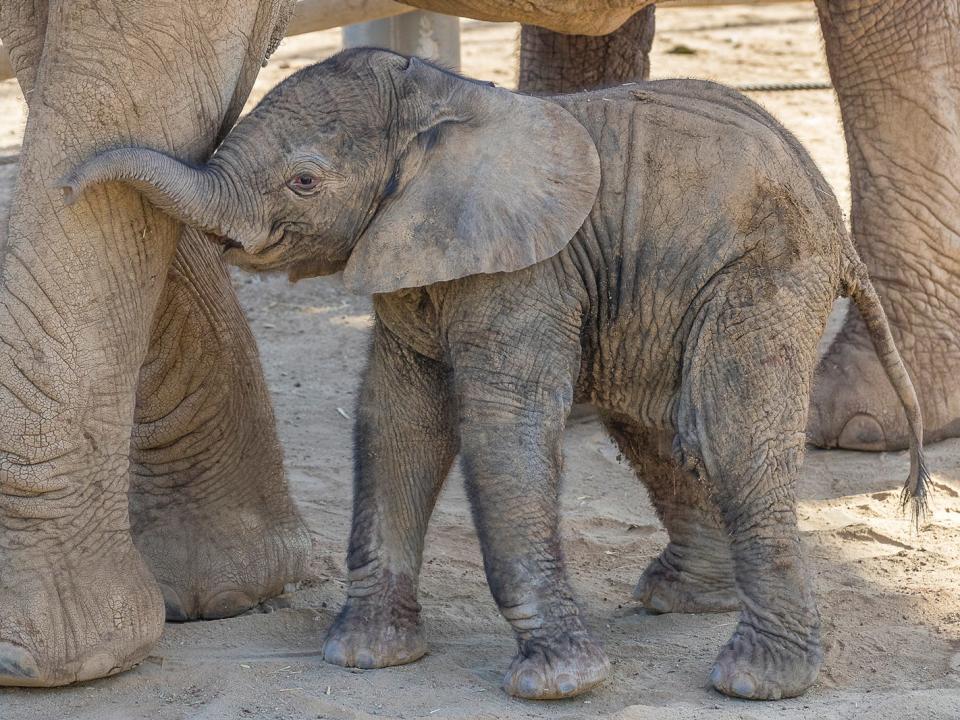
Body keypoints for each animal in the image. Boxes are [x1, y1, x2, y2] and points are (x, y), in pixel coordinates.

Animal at [62, 47, 928, 700]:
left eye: (304, 181)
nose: (70, 184)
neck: (443, 101)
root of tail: (835, 227)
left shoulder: (526, 270)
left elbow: (499, 428)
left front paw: (560, 685)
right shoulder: (415, 258)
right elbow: (398, 421)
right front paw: (366, 656)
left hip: (764, 271)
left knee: (725, 434)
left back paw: (754, 681)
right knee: (654, 432)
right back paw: (679, 601)